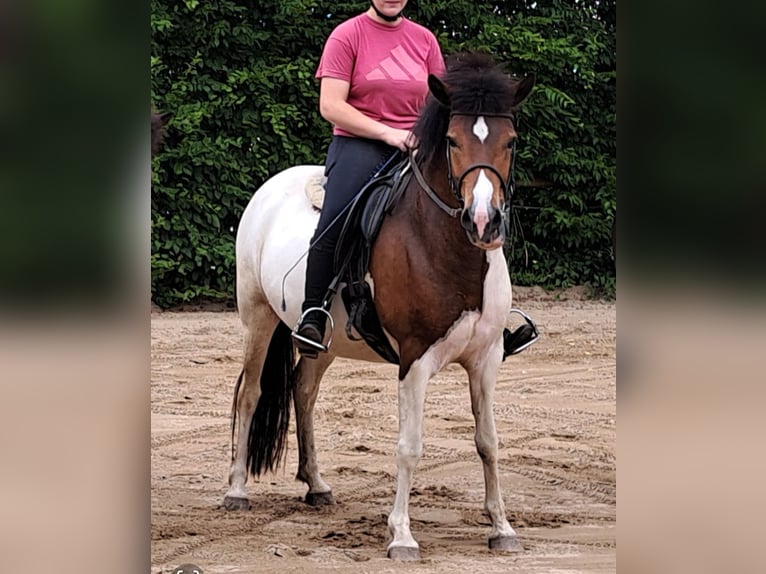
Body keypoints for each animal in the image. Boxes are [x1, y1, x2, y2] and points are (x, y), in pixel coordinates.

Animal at [225, 53, 536, 564]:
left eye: (510, 141)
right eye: (452, 140)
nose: (483, 221)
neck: (447, 249)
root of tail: (272, 186)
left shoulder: (486, 359)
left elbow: (489, 442)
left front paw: (503, 528)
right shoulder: (415, 358)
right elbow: (409, 447)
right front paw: (402, 536)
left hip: (322, 341)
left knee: (303, 391)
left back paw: (317, 485)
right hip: (258, 317)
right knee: (251, 393)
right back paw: (236, 490)